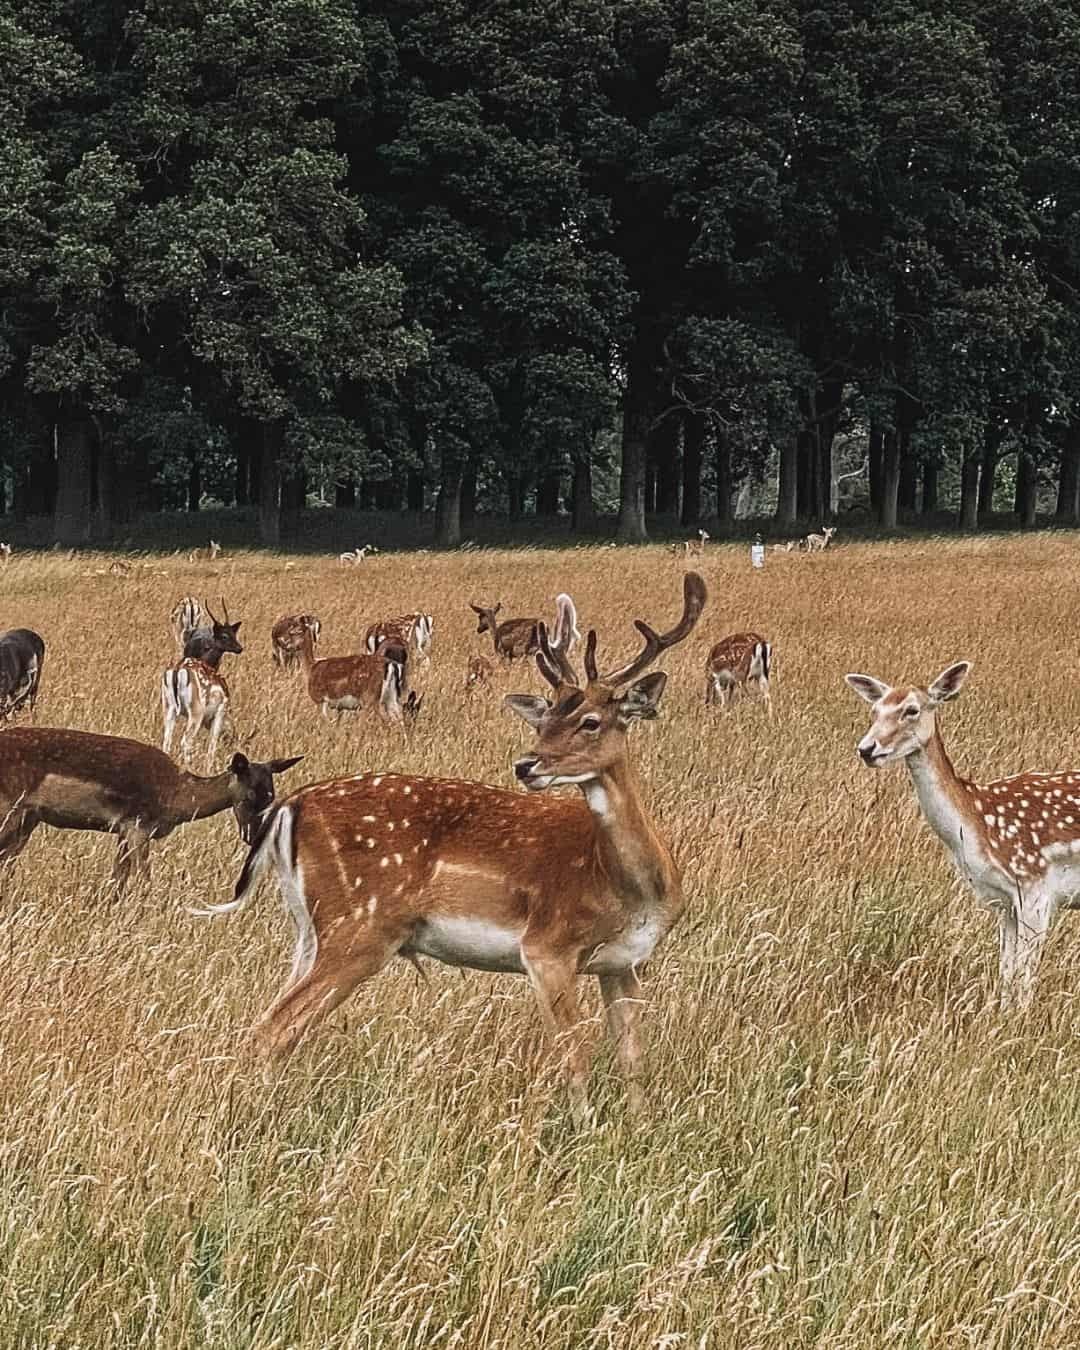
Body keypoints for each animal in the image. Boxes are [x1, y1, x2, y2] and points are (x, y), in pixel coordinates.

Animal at [0, 729, 299, 896]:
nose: (253, 836)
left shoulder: (122, 829)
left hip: (28, 818)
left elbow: (118, 879)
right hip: (10, 810)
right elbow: (144, 879)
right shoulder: (139, 825)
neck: (176, 799)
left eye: (272, 796)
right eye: (248, 797)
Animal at [198, 575, 707, 1123]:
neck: (631, 888)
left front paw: (635, 1126)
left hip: (310, 931)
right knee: (273, 1029)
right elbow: (575, 1054)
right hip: (359, 925)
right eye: (543, 719)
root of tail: (289, 807)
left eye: (591, 721)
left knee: (275, 1022)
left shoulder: (625, 963)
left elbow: (634, 1059)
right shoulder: (546, 946)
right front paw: (586, 1128)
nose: (526, 765)